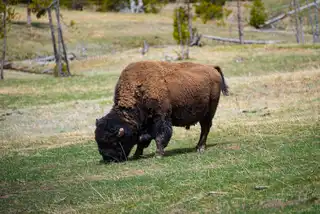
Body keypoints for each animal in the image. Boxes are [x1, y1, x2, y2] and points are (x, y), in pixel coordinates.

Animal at [94, 60, 229, 162]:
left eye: (115, 142)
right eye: (98, 141)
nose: (109, 159)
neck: (139, 89)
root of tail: (212, 68)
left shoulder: (161, 118)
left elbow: (160, 136)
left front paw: (158, 154)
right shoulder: (145, 124)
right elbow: (142, 140)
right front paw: (137, 155)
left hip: (209, 112)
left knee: (205, 128)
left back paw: (200, 148)